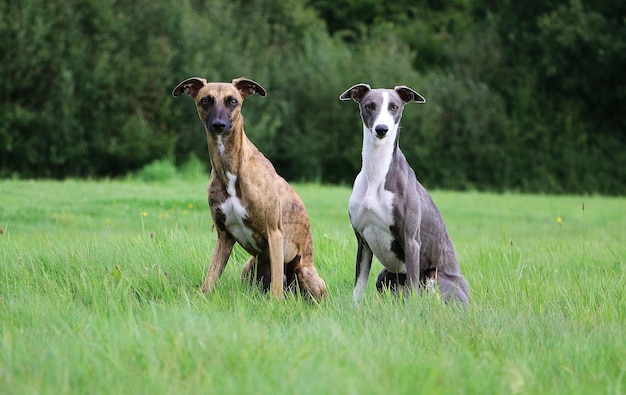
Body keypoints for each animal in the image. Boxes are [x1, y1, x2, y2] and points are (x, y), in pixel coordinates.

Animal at [338, 83, 466, 304]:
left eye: (394, 106)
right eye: (369, 106)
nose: (382, 129)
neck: (377, 174)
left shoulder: (411, 241)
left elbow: (413, 287)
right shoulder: (363, 241)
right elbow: (358, 287)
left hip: (434, 276)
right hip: (384, 276)